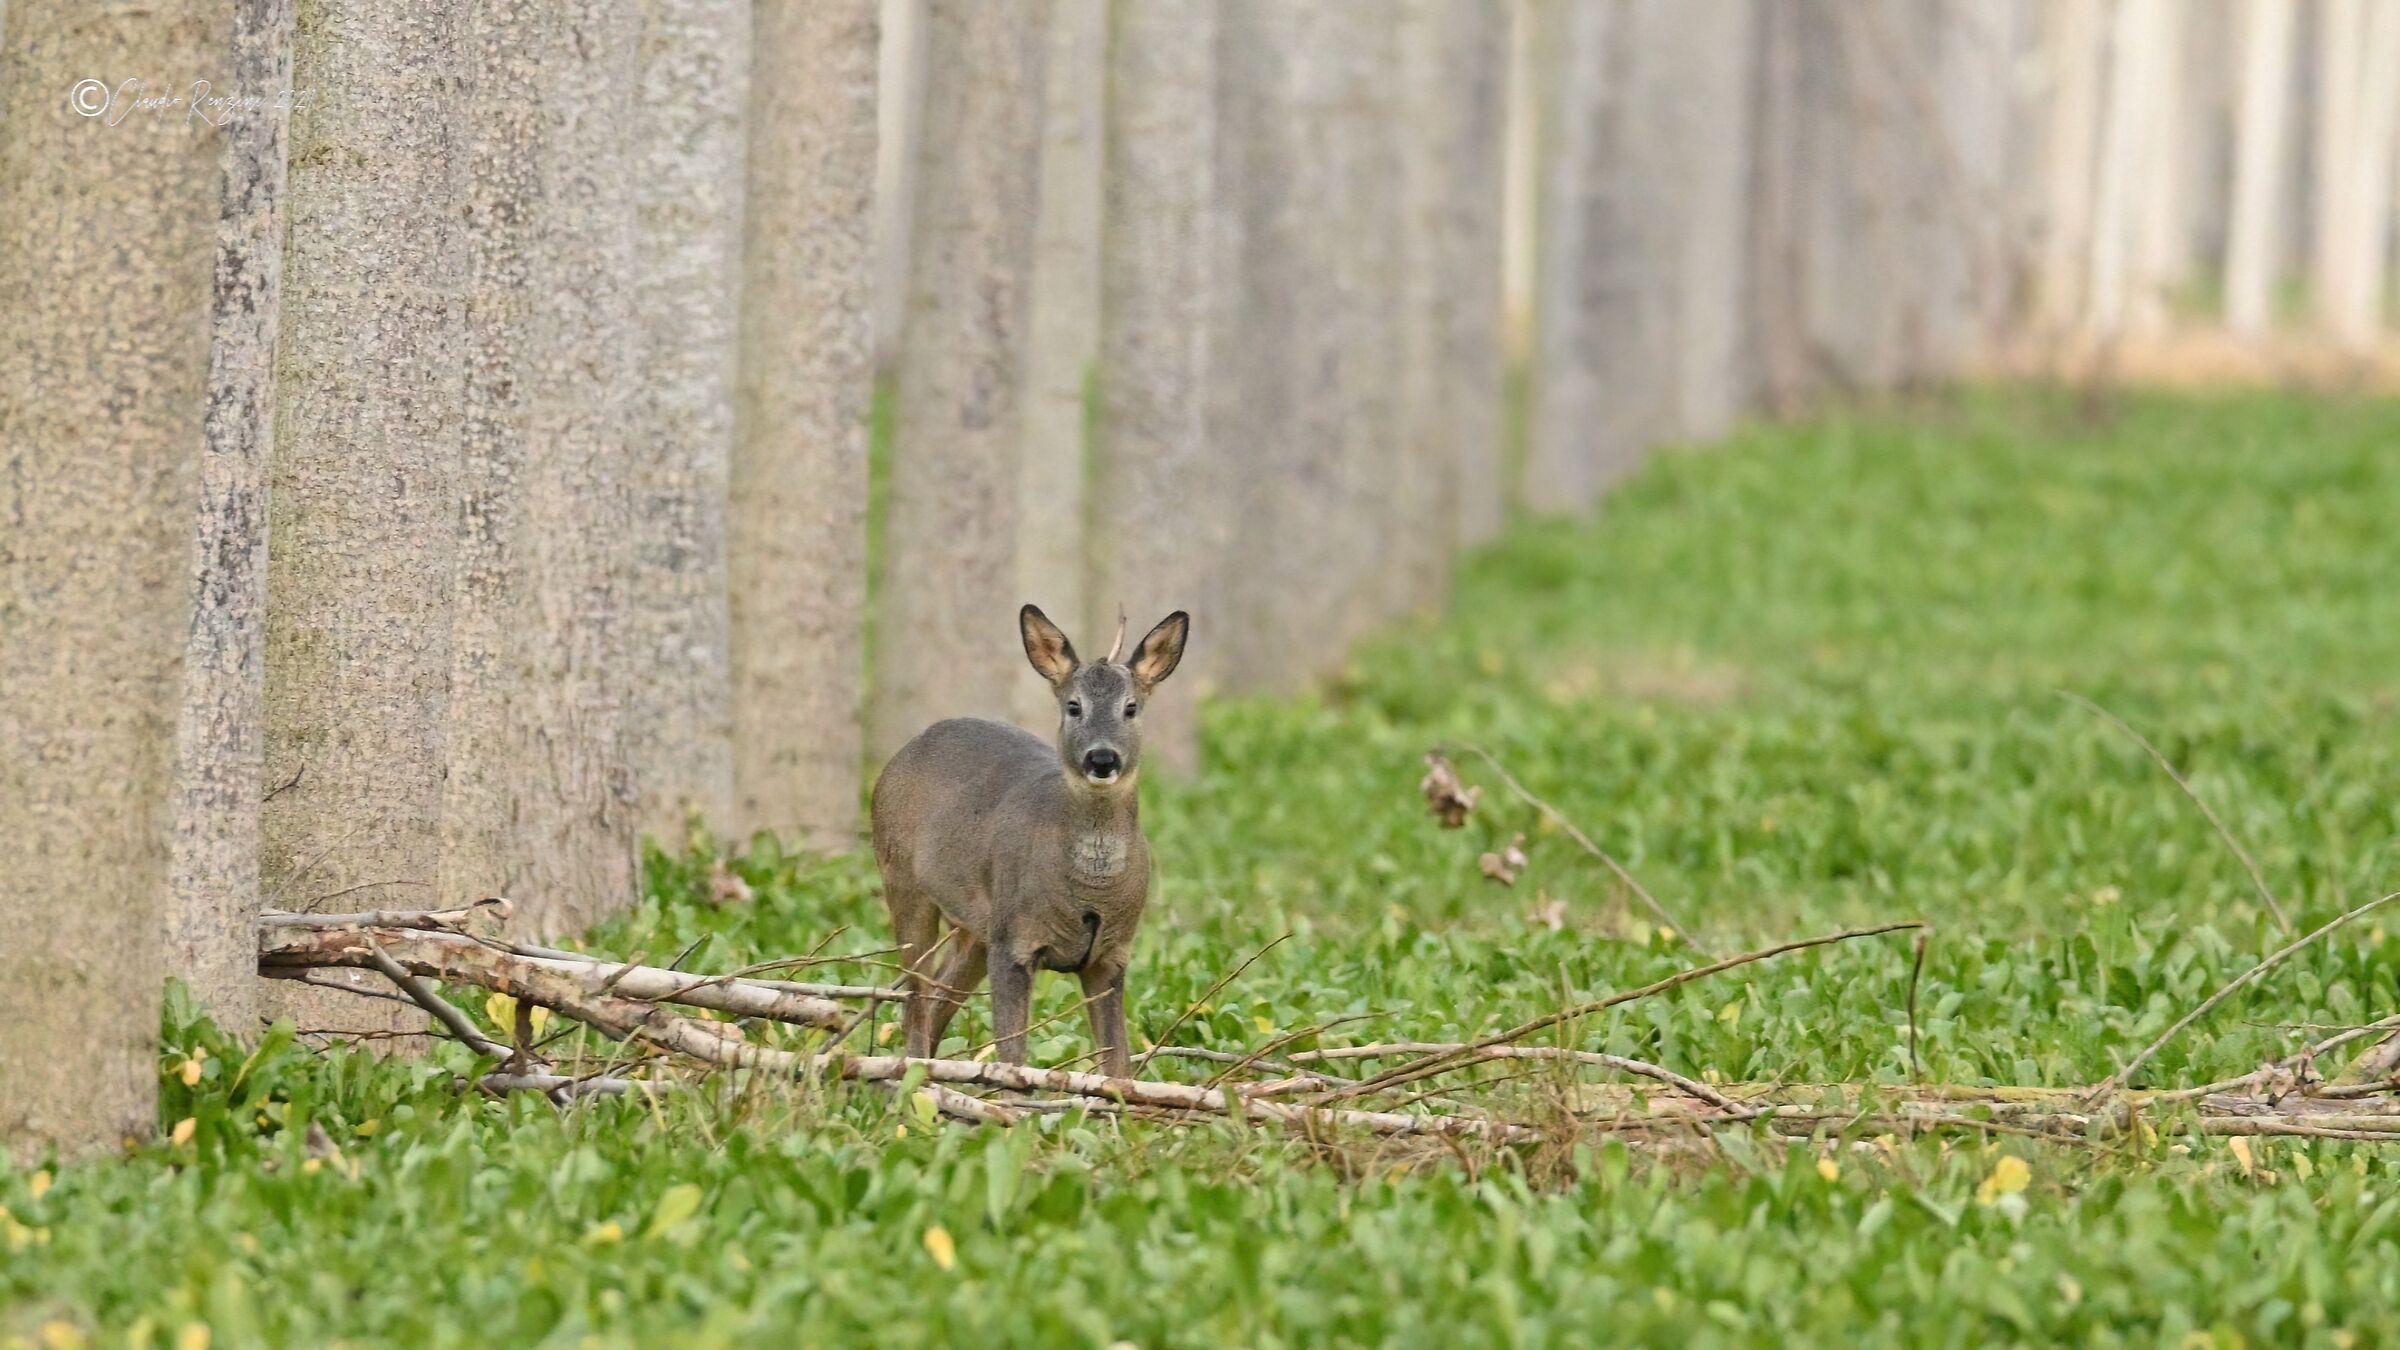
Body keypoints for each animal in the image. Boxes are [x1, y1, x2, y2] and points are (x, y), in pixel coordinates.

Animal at [871, 604, 1189, 1078]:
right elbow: (1013, 1059)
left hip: (976, 928)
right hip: (903, 879)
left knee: (939, 1003)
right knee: (916, 1001)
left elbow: (1118, 1067)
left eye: (1130, 708)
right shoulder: (1015, 943)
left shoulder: (1111, 955)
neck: (1090, 891)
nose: (1102, 758)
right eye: (1074, 706)